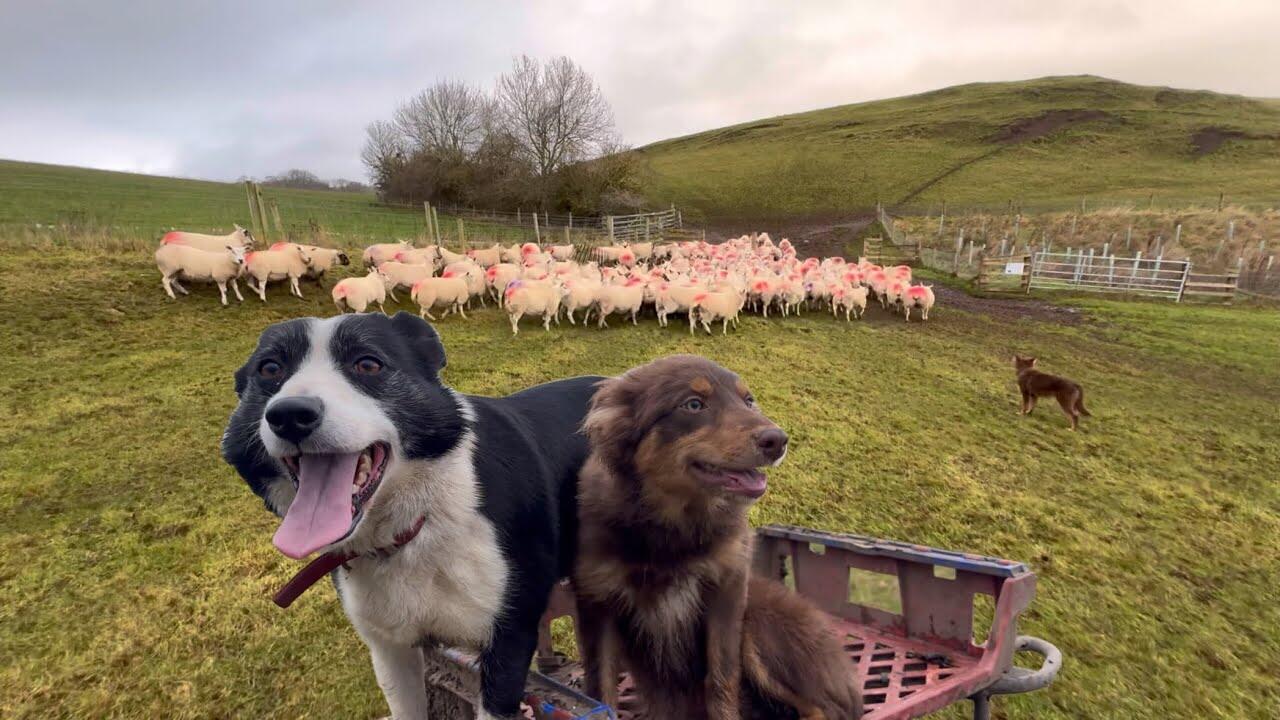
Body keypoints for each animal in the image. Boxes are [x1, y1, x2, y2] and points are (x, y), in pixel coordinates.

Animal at [220, 311, 603, 719]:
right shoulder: (390, 647)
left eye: (368, 364)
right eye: (269, 368)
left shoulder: (509, 641)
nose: (290, 415)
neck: (416, 525)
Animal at [573, 355, 862, 719]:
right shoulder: (598, 604)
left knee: (824, 709)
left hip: (758, 619)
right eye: (693, 404)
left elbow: (721, 679)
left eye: (749, 400)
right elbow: (600, 691)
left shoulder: (727, 590)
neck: (673, 525)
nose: (778, 441)